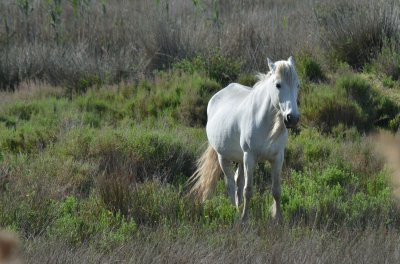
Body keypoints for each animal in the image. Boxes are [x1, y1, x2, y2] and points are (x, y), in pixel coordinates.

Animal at [189, 56, 298, 222]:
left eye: (297, 85)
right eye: (278, 85)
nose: (292, 118)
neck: (266, 124)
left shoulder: (277, 157)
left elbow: (276, 190)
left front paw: (278, 219)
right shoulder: (250, 157)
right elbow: (248, 190)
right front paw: (244, 218)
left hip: (240, 159)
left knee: (237, 181)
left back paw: (238, 206)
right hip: (224, 157)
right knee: (230, 183)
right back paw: (234, 210)